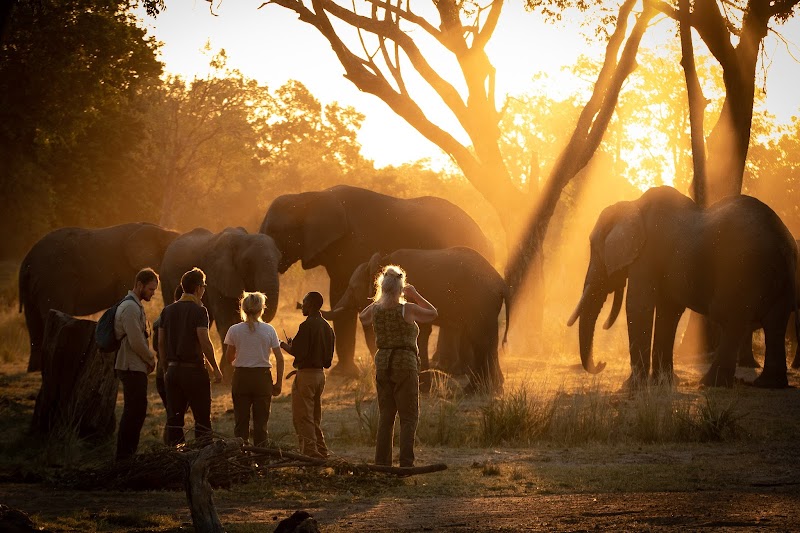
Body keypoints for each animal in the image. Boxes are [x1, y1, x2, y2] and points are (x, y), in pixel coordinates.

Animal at [19, 222, 179, 371]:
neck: (160, 230)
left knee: (32, 319)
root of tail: (27, 261)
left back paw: (35, 368)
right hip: (53, 282)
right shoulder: (125, 270)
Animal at [158, 227, 282, 379]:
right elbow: (226, 321)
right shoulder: (214, 277)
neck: (240, 240)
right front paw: (228, 375)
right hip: (165, 278)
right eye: (247, 262)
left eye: (279, 260)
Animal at [259, 185, 494, 376]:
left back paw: (449, 368)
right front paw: (342, 375)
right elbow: (338, 293)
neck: (311, 197)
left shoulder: (356, 244)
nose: (298, 303)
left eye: (275, 231)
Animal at [322, 247, 509, 392]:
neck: (381, 261)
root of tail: (501, 284)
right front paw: (423, 387)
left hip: (479, 300)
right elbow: (422, 332)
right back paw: (493, 388)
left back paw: (473, 390)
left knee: (479, 339)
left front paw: (421, 387)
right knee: (488, 340)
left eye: (352, 288)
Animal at [568, 186, 798, 389]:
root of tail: (782, 242)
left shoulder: (648, 252)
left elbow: (639, 305)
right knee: (774, 323)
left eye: (594, 249)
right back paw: (768, 385)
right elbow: (668, 311)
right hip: (782, 276)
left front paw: (631, 387)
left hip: (741, 270)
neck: (633, 205)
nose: (601, 364)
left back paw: (710, 384)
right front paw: (663, 383)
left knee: (732, 320)